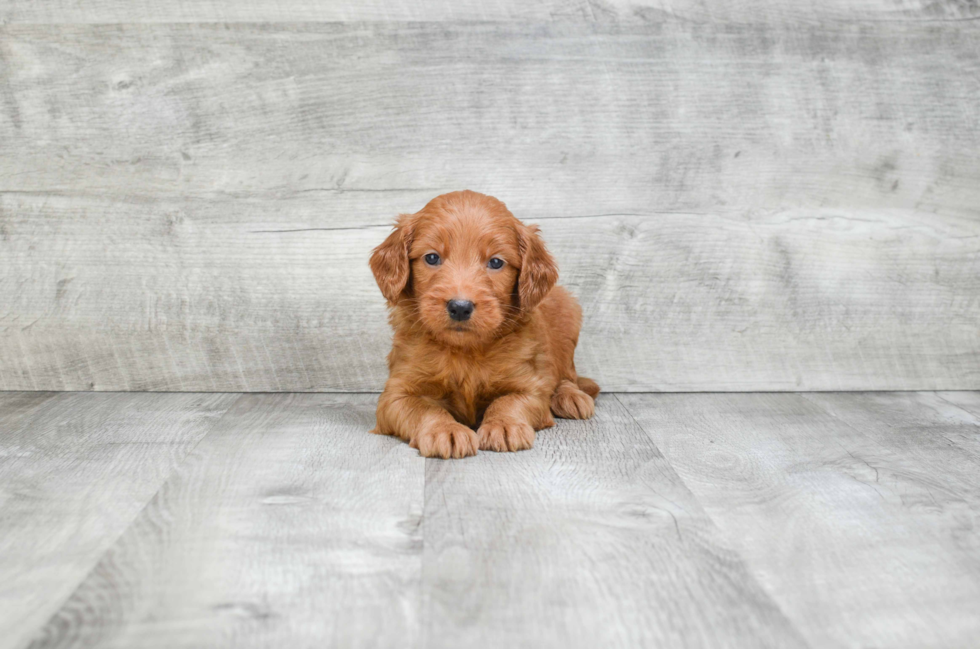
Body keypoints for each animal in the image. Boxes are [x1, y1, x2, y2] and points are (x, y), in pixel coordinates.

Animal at [368, 190, 596, 458]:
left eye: (496, 262)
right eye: (432, 257)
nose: (460, 307)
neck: (465, 351)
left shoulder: (530, 387)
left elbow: (509, 401)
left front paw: (504, 425)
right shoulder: (395, 394)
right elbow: (424, 408)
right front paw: (445, 430)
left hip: (569, 311)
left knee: (568, 375)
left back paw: (570, 397)